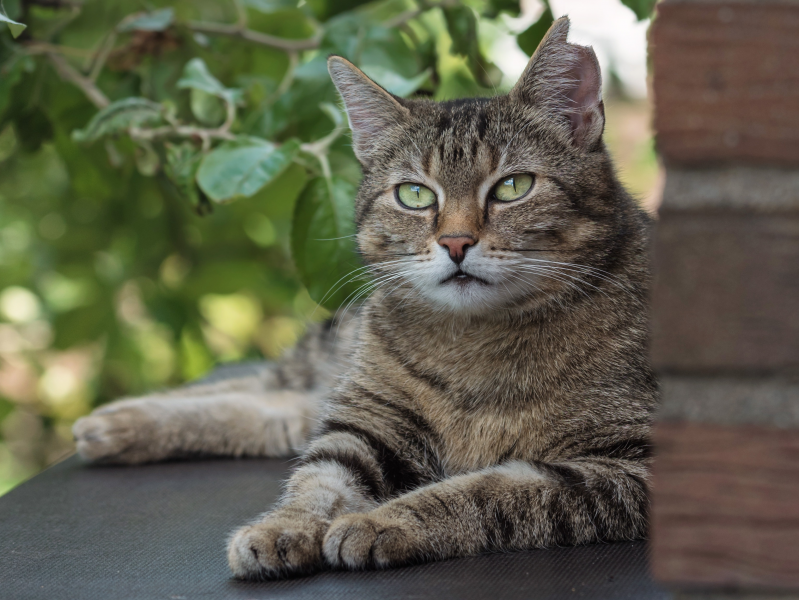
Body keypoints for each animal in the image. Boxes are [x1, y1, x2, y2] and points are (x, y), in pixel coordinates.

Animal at [70, 18, 656, 580]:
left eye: (513, 187)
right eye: (414, 194)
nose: (456, 242)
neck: (478, 342)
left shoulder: (634, 466)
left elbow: (489, 490)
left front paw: (382, 521)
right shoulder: (370, 423)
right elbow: (320, 477)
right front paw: (284, 525)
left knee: (280, 406)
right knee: (271, 391)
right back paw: (117, 420)